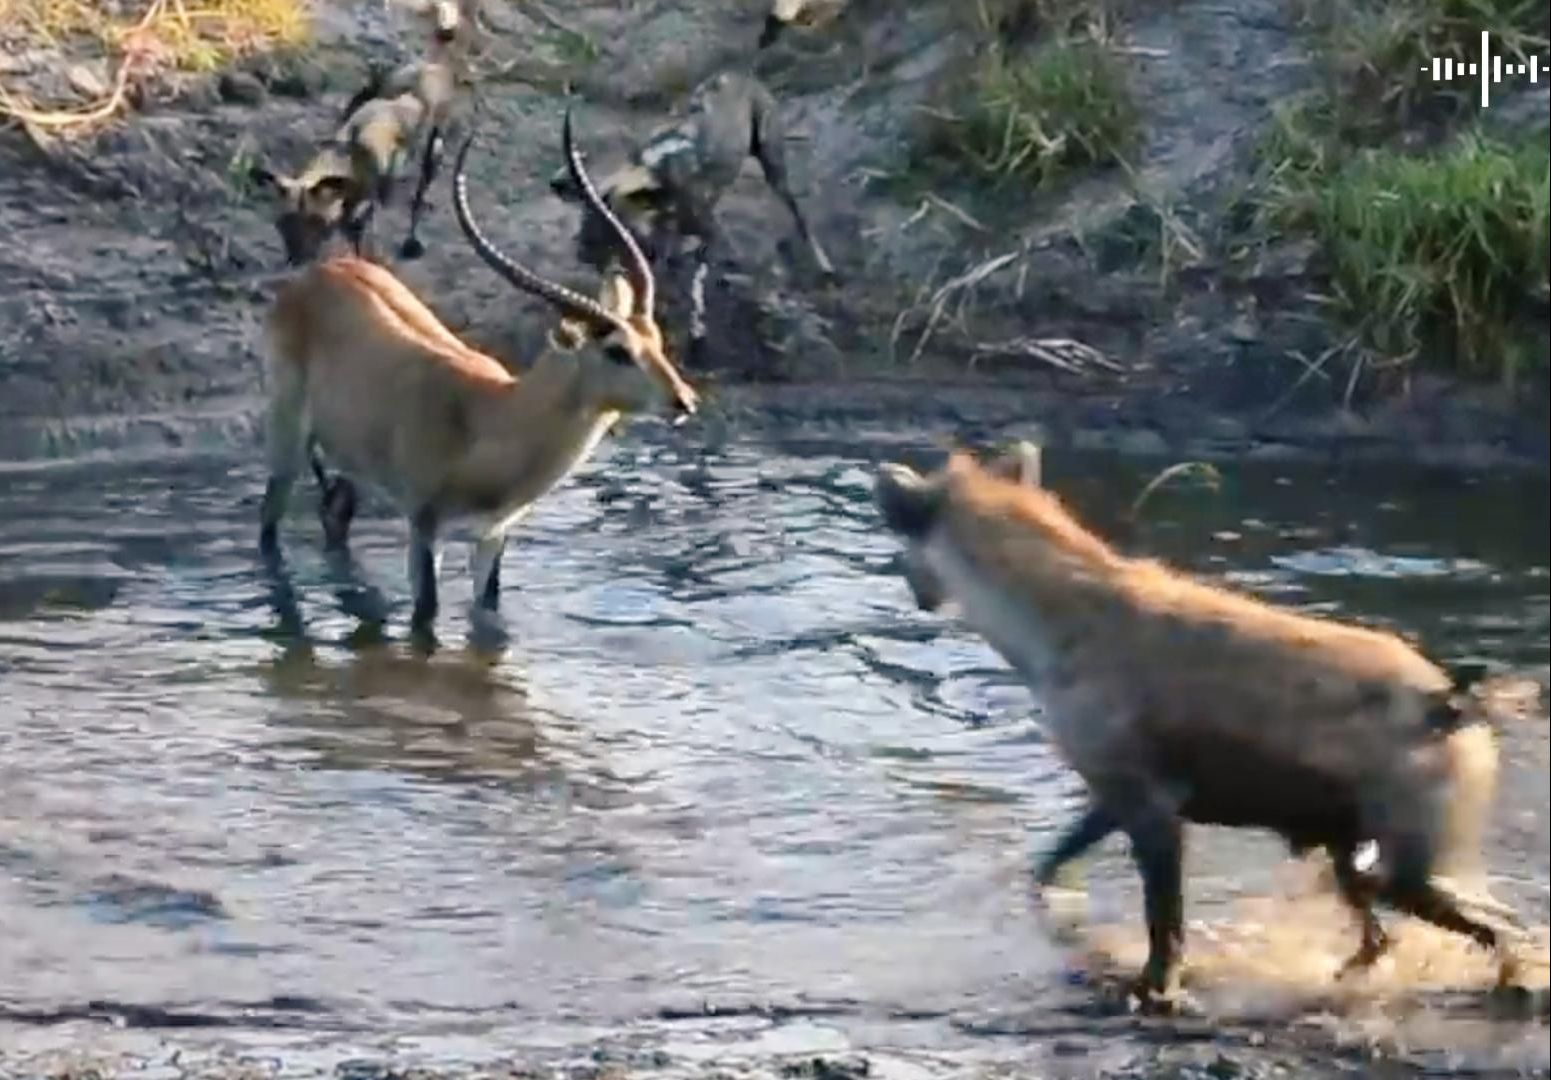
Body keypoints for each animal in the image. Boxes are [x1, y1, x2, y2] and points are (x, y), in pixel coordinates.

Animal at [248, 0, 474, 263]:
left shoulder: (361, 217)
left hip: (433, 150)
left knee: (419, 194)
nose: (297, 259)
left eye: (316, 222)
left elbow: (361, 247)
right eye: (284, 224)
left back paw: (412, 239)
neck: (348, 162)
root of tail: (432, 66)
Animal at [259, 107, 697, 633]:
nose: (684, 401)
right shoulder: (424, 529)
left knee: (335, 516)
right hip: (287, 438)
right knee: (268, 526)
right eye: (617, 351)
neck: (492, 416)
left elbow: (488, 613)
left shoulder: (492, 536)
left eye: (657, 341)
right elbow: (425, 616)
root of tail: (314, 276)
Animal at [545, 73, 837, 367]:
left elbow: (699, 278)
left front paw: (699, 333)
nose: (582, 251)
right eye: (586, 215)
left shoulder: (710, 232)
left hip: (774, 168)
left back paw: (825, 268)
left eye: (606, 220)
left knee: (798, 214)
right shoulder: (665, 241)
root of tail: (740, 74)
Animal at [880, 440, 1532, 1011]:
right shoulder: (1113, 790)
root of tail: (1450, 702)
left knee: (1508, 926)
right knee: (1385, 929)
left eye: (901, 546)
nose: (912, 589)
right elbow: (1054, 859)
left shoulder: (1153, 808)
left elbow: (1164, 923)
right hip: (1356, 853)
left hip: (1413, 867)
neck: (1048, 621)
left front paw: (1157, 992)